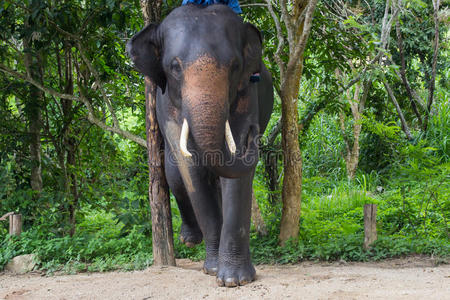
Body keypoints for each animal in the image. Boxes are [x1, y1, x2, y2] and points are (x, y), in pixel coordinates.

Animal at [126, 4, 274, 286]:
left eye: (235, 66)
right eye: (174, 67)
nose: (253, 133)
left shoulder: (247, 97)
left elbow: (236, 178)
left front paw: (235, 280)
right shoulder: (168, 107)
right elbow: (191, 171)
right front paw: (213, 268)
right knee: (175, 176)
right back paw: (190, 240)